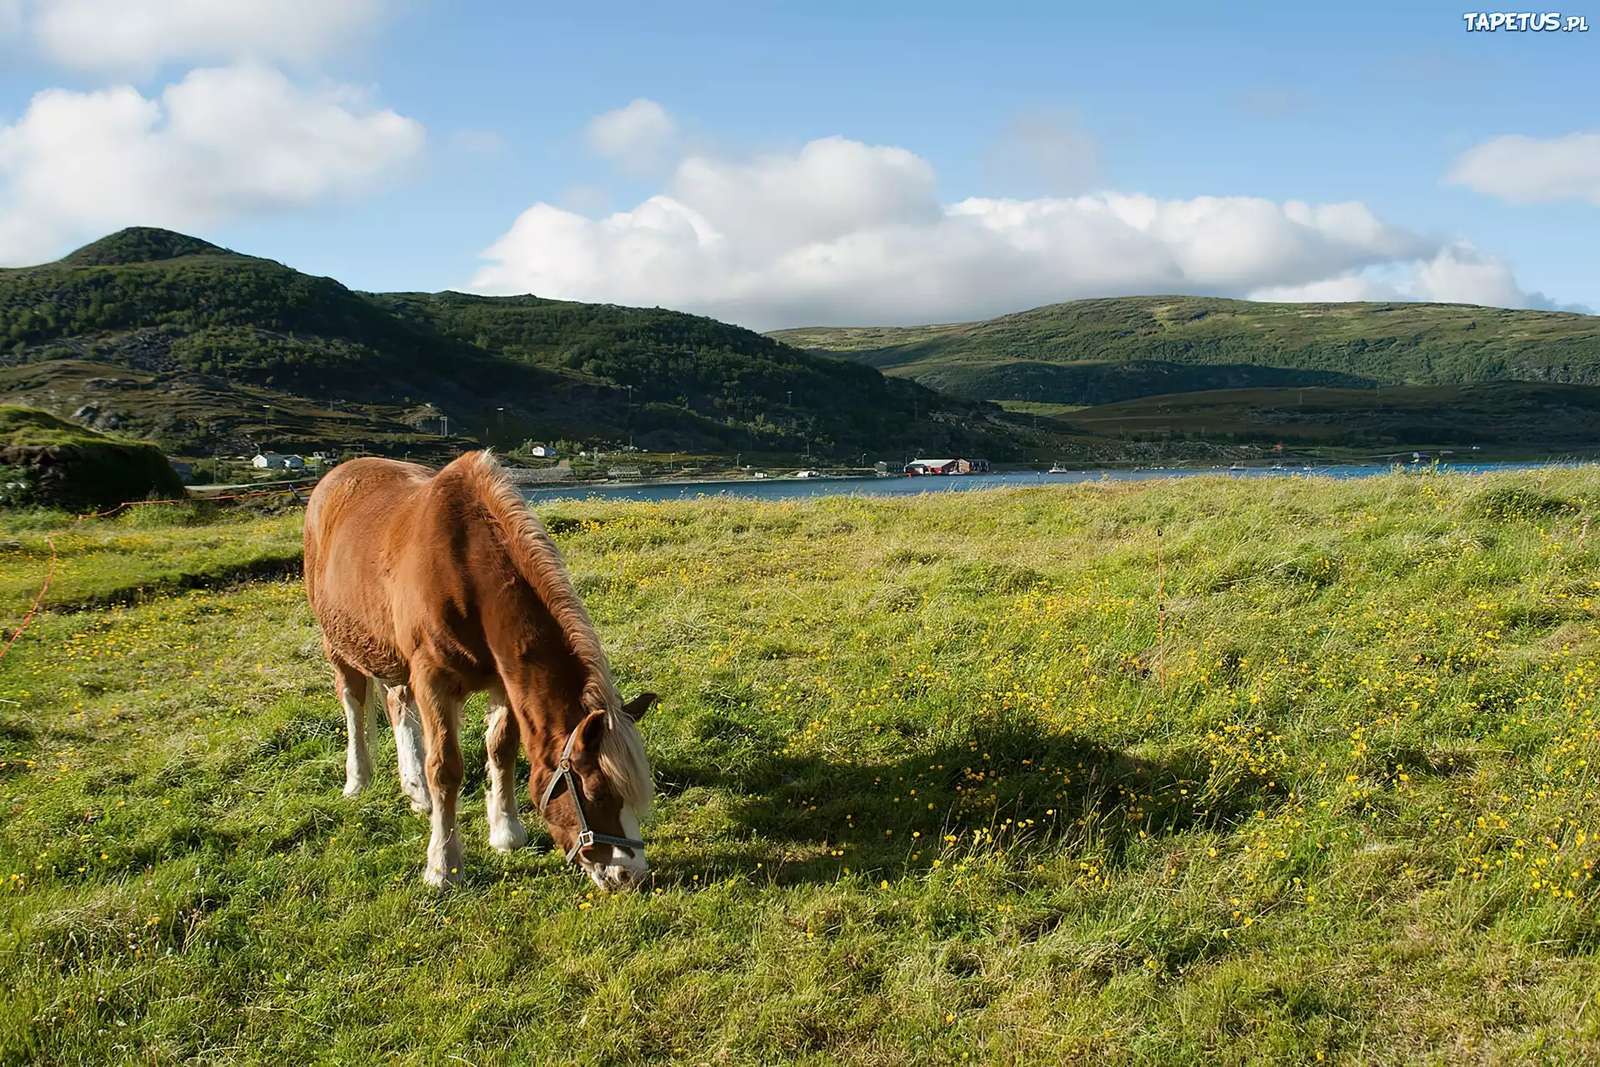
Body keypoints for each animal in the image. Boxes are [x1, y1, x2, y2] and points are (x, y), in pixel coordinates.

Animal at [302, 454, 652, 895]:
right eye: (599, 794)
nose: (631, 874)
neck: (465, 569)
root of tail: (335, 477)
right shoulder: (432, 679)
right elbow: (445, 768)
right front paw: (443, 867)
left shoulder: (504, 680)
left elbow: (501, 749)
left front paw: (506, 832)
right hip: (337, 643)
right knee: (353, 702)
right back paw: (358, 780)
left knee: (398, 705)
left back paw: (415, 791)